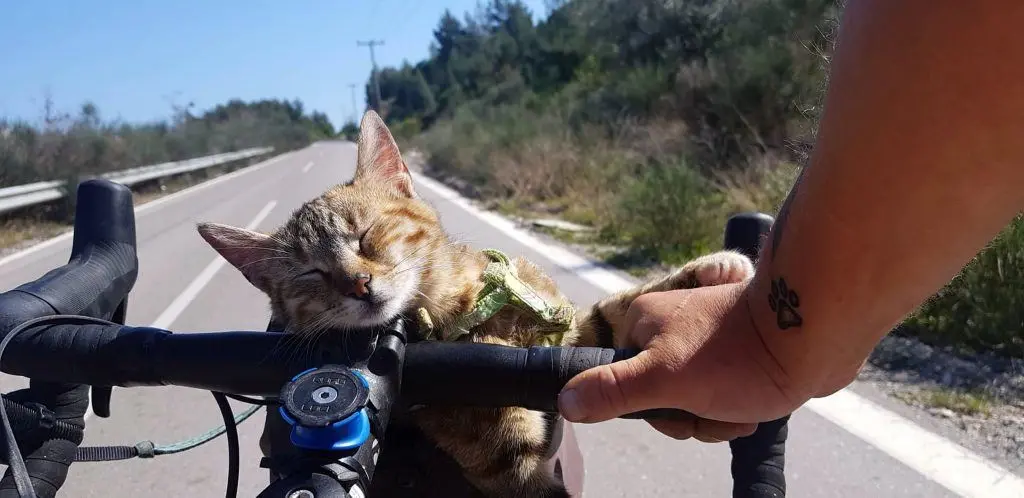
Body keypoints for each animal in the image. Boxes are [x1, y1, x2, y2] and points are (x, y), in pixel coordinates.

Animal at [195, 111, 753, 498]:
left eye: (366, 237)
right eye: (312, 273)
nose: (358, 284)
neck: (467, 307)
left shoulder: (568, 330)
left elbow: (616, 311)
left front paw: (711, 271)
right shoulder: (510, 469)